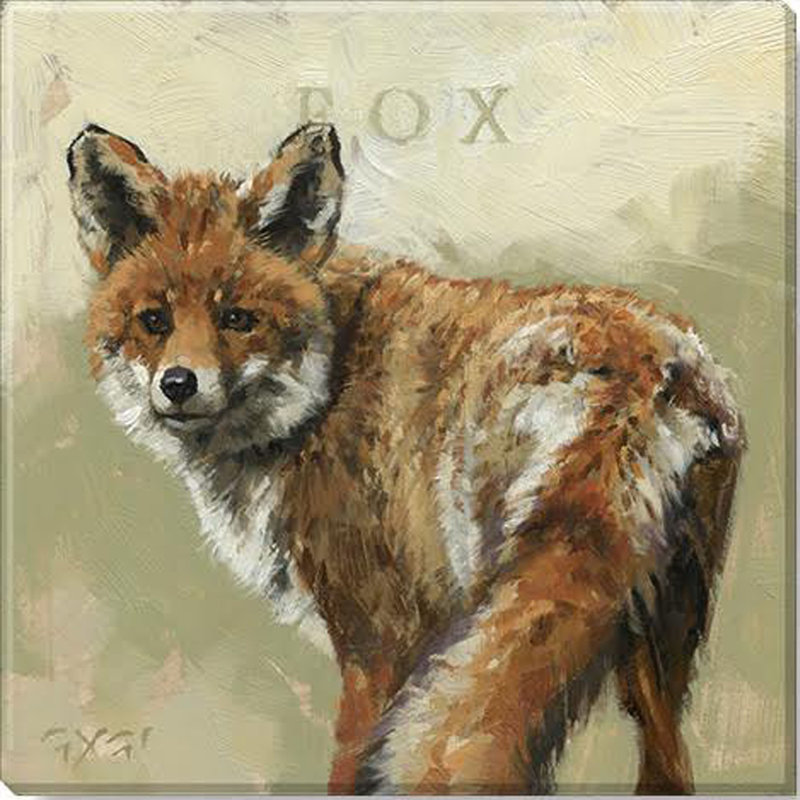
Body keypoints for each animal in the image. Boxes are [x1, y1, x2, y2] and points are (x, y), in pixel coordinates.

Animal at [69, 121, 743, 795]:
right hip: (661, 632)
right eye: (153, 320)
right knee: (666, 758)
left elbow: (356, 766)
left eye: (238, 318)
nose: (179, 385)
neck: (324, 389)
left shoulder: (381, 639)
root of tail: (648, 365)